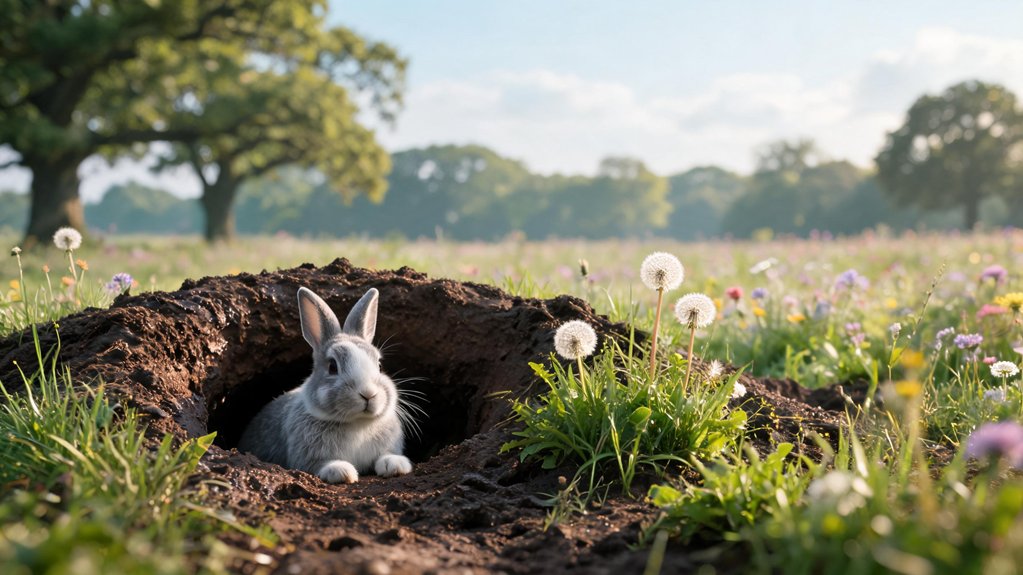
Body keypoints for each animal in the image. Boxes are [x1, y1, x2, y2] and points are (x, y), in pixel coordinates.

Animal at [237, 287, 413, 484]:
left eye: (380, 365)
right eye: (332, 367)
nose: (368, 393)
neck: (357, 422)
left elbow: (386, 455)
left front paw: (395, 465)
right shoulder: (306, 455)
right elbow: (318, 464)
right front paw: (342, 471)